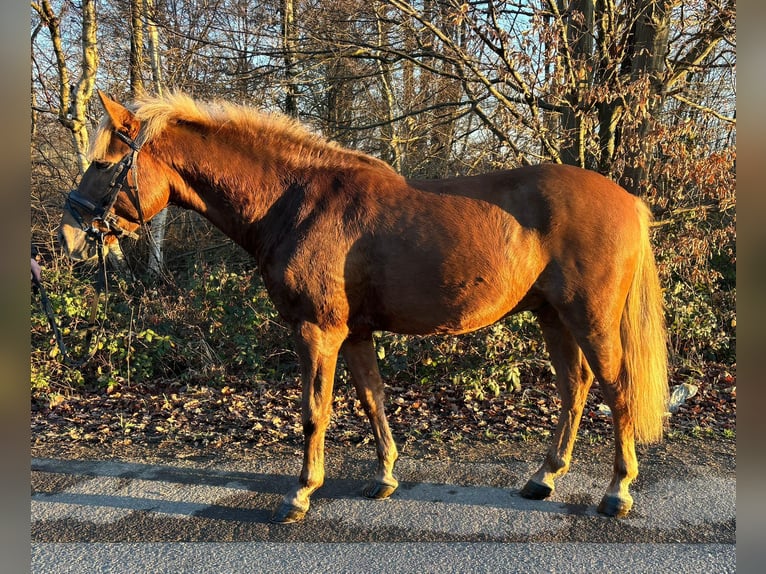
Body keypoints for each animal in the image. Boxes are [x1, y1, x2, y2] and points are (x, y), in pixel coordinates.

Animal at [58, 90, 668, 523]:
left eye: (104, 163)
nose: (69, 233)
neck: (297, 202)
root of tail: (629, 200)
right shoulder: (353, 334)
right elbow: (373, 399)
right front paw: (385, 477)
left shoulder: (316, 330)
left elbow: (314, 411)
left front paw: (301, 494)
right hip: (552, 316)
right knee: (575, 387)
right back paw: (544, 478)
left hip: (589, 317)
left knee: (616, 389)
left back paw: (617, 492)